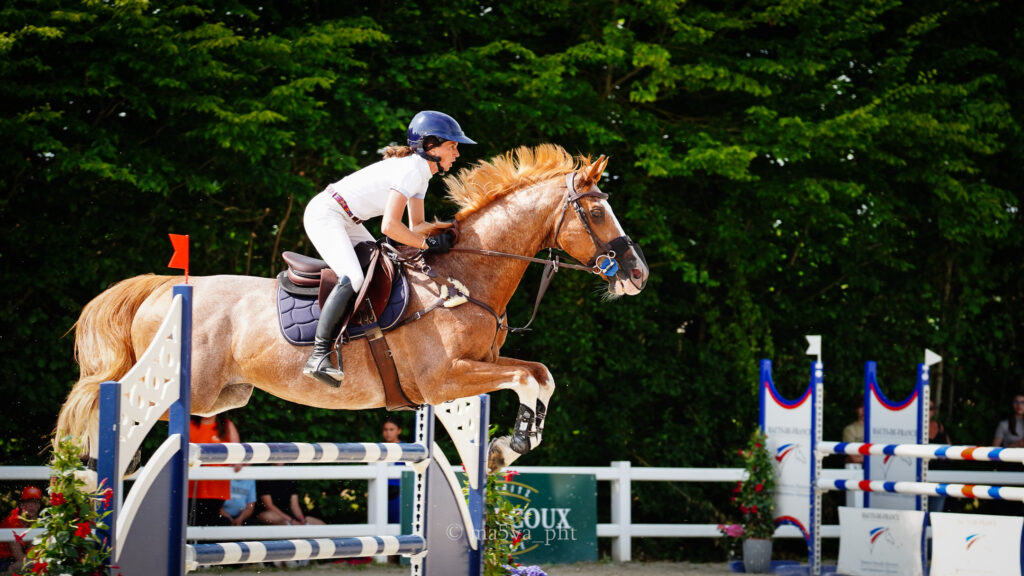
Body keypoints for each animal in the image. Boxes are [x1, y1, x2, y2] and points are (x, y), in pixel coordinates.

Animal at [54, 144, 649, 474]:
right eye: (598, 211)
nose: (638, 273)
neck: (463, 278)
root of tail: (164, 288)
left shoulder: (475, 371)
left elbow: (539, 375)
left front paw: (509, 446)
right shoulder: (443, 379)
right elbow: (530, 377)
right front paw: (513, 443)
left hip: (224, 396)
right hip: (187, 385)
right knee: (111, 397)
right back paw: (93, 465)